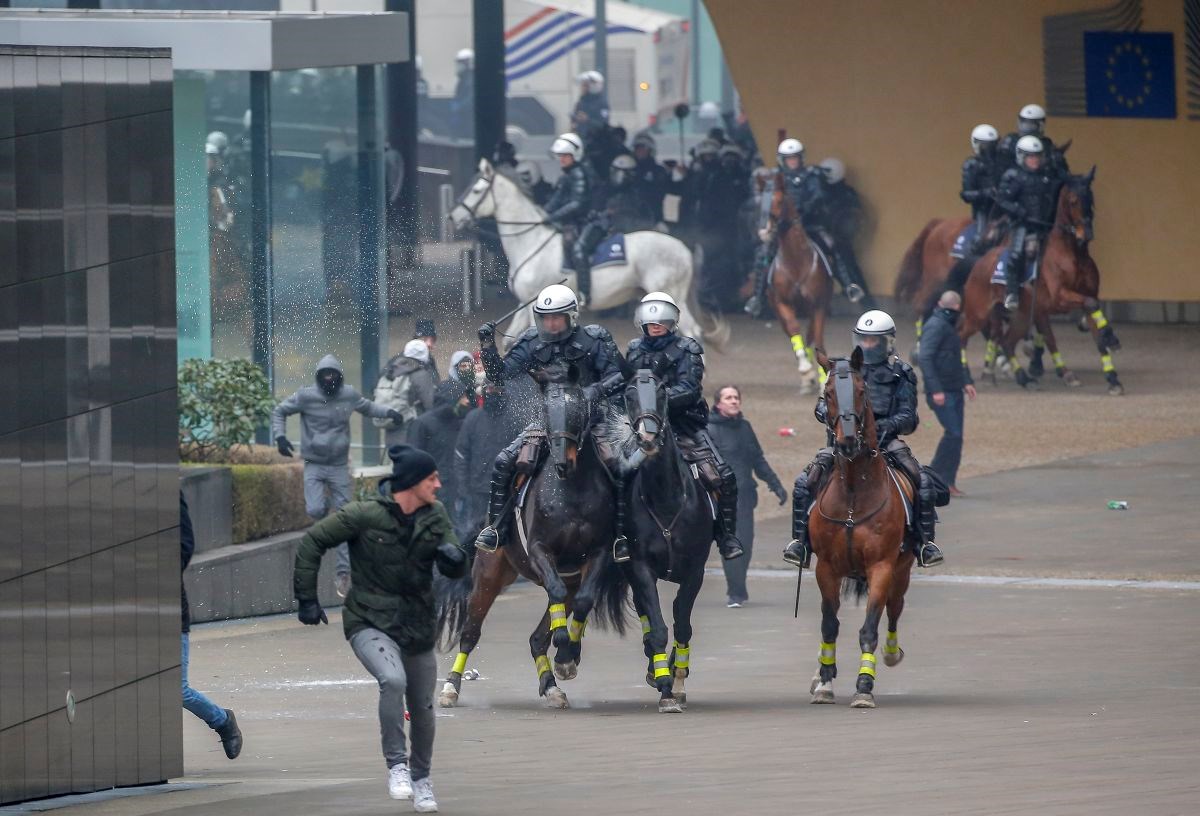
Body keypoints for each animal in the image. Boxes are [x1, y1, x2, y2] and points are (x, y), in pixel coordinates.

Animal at [451, 159, 729, 350]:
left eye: (476, 190)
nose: (453, 217)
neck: (532, 243)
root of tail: (682, 247)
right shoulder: (524, 303)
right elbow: (511, 341)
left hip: (671, 295)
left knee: (692, 331)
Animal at [614, 367, 715, 710]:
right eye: (629, 393)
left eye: (662, 391)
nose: (647, 437)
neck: (666, 498)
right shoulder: (640, 568)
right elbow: (657, 625)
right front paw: (665, 685)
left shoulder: (695, 570)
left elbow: (682, 622)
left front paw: (679, 680)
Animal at [758, 170, 835, 393]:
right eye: (759, 201)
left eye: (778, 199)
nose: (764, 231)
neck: (796, 263)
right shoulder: (781, 302)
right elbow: (793, 329)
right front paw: (805, 369)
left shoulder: (819, 304)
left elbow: (817, 337)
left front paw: (822, 378)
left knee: (811, 334)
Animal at [811, 348, 912, 710]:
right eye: (827, 394)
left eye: (860, 390)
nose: (846, 443)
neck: (854, 491)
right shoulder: (826, 568)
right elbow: (829, 625)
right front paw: (825, 681)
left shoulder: (881, 566)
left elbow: (869, 628)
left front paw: (864, 686)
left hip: (902, 570)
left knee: (894, 609)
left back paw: (892, 653)